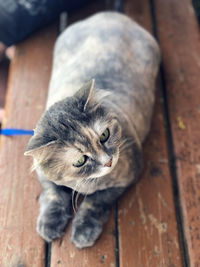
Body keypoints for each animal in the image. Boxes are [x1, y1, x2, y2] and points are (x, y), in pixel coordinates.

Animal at [24, 10, 160, 249]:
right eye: (80, 160)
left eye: (104, 135)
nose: (108, 162)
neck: (82, 184)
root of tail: (110, 15)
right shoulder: (44, 175)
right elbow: (53, 195)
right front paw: (50, 223)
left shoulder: (127, 177)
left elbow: (95, 202)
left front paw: (84, 230)